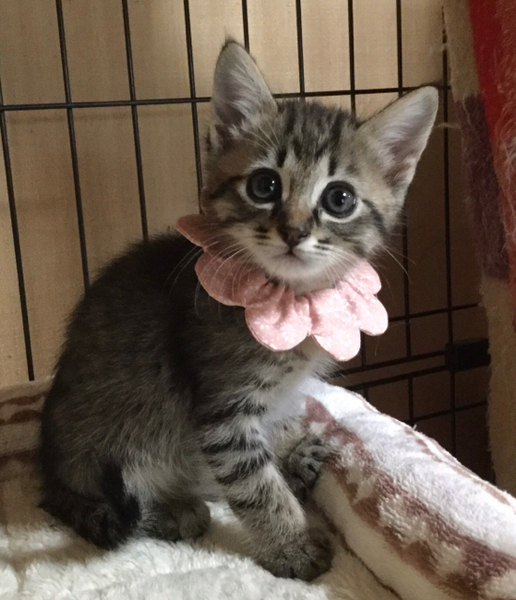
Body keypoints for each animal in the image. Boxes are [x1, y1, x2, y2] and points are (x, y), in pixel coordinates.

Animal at [39, 40, 438, 581]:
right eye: (264, 186)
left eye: (340, 198)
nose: (294, 231)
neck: (290, 298)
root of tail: (49, 467)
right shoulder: (223, 411)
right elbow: (255, 485)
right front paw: (292, 546)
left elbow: (274, 429)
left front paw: (288, 449)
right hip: (105, 450)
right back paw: (172, 510)